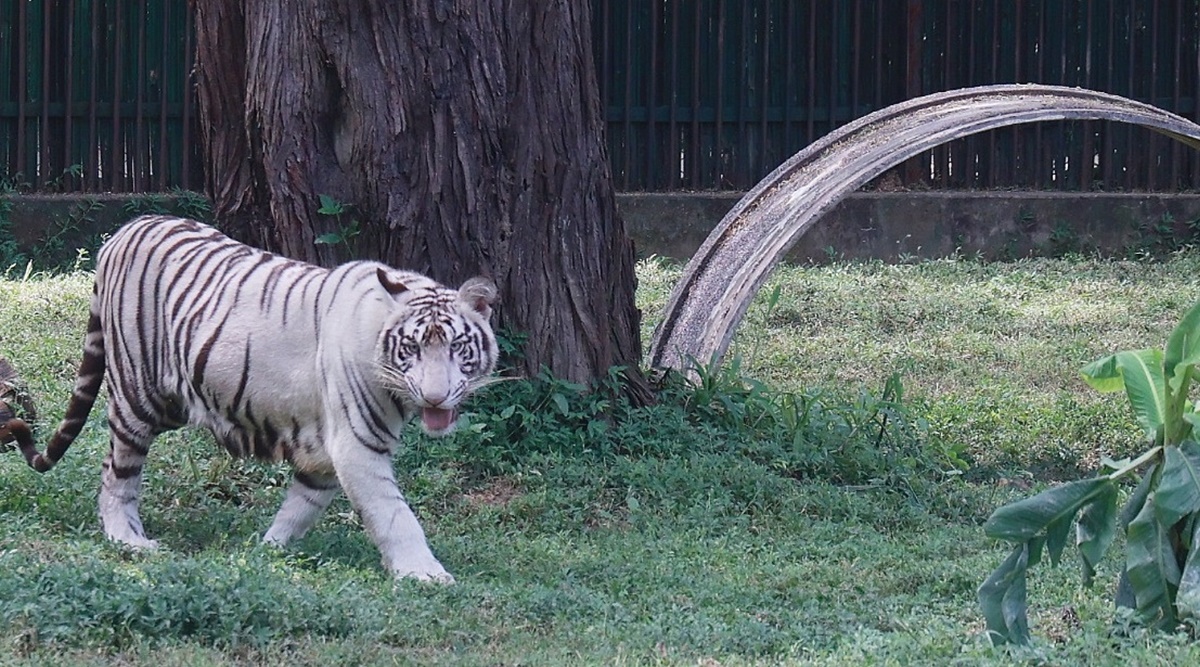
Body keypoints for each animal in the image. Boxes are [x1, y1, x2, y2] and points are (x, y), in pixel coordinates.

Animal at [8, 215, 496, 580]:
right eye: (411, 348)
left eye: (457, 347)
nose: (435, 398)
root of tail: (126, 229)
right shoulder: (358, 442)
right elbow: (394, 513)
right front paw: (424, 574)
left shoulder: (324, 451)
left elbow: (301, 506)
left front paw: (268, 551)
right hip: (140, 394)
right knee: (117, 472)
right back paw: (127, 539)